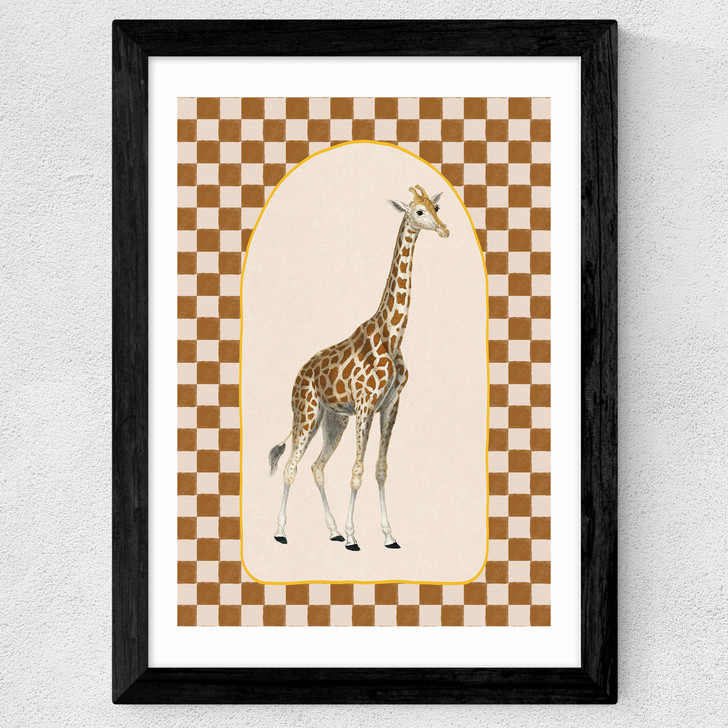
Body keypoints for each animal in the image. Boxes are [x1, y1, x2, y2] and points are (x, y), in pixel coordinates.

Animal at [268, 185, 450, 551]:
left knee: (316, 466)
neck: (392, 335)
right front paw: (354, 537)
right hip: (306, 414)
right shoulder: (365, 405)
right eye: (418, 211)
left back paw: (333, 530)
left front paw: (388, 535)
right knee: (291, 466)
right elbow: (357, 472)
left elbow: (380, 469)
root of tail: (298, 376)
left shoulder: (390, 405)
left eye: (436, 207)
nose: (444, 230)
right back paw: (282, 532)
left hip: (332, 419)